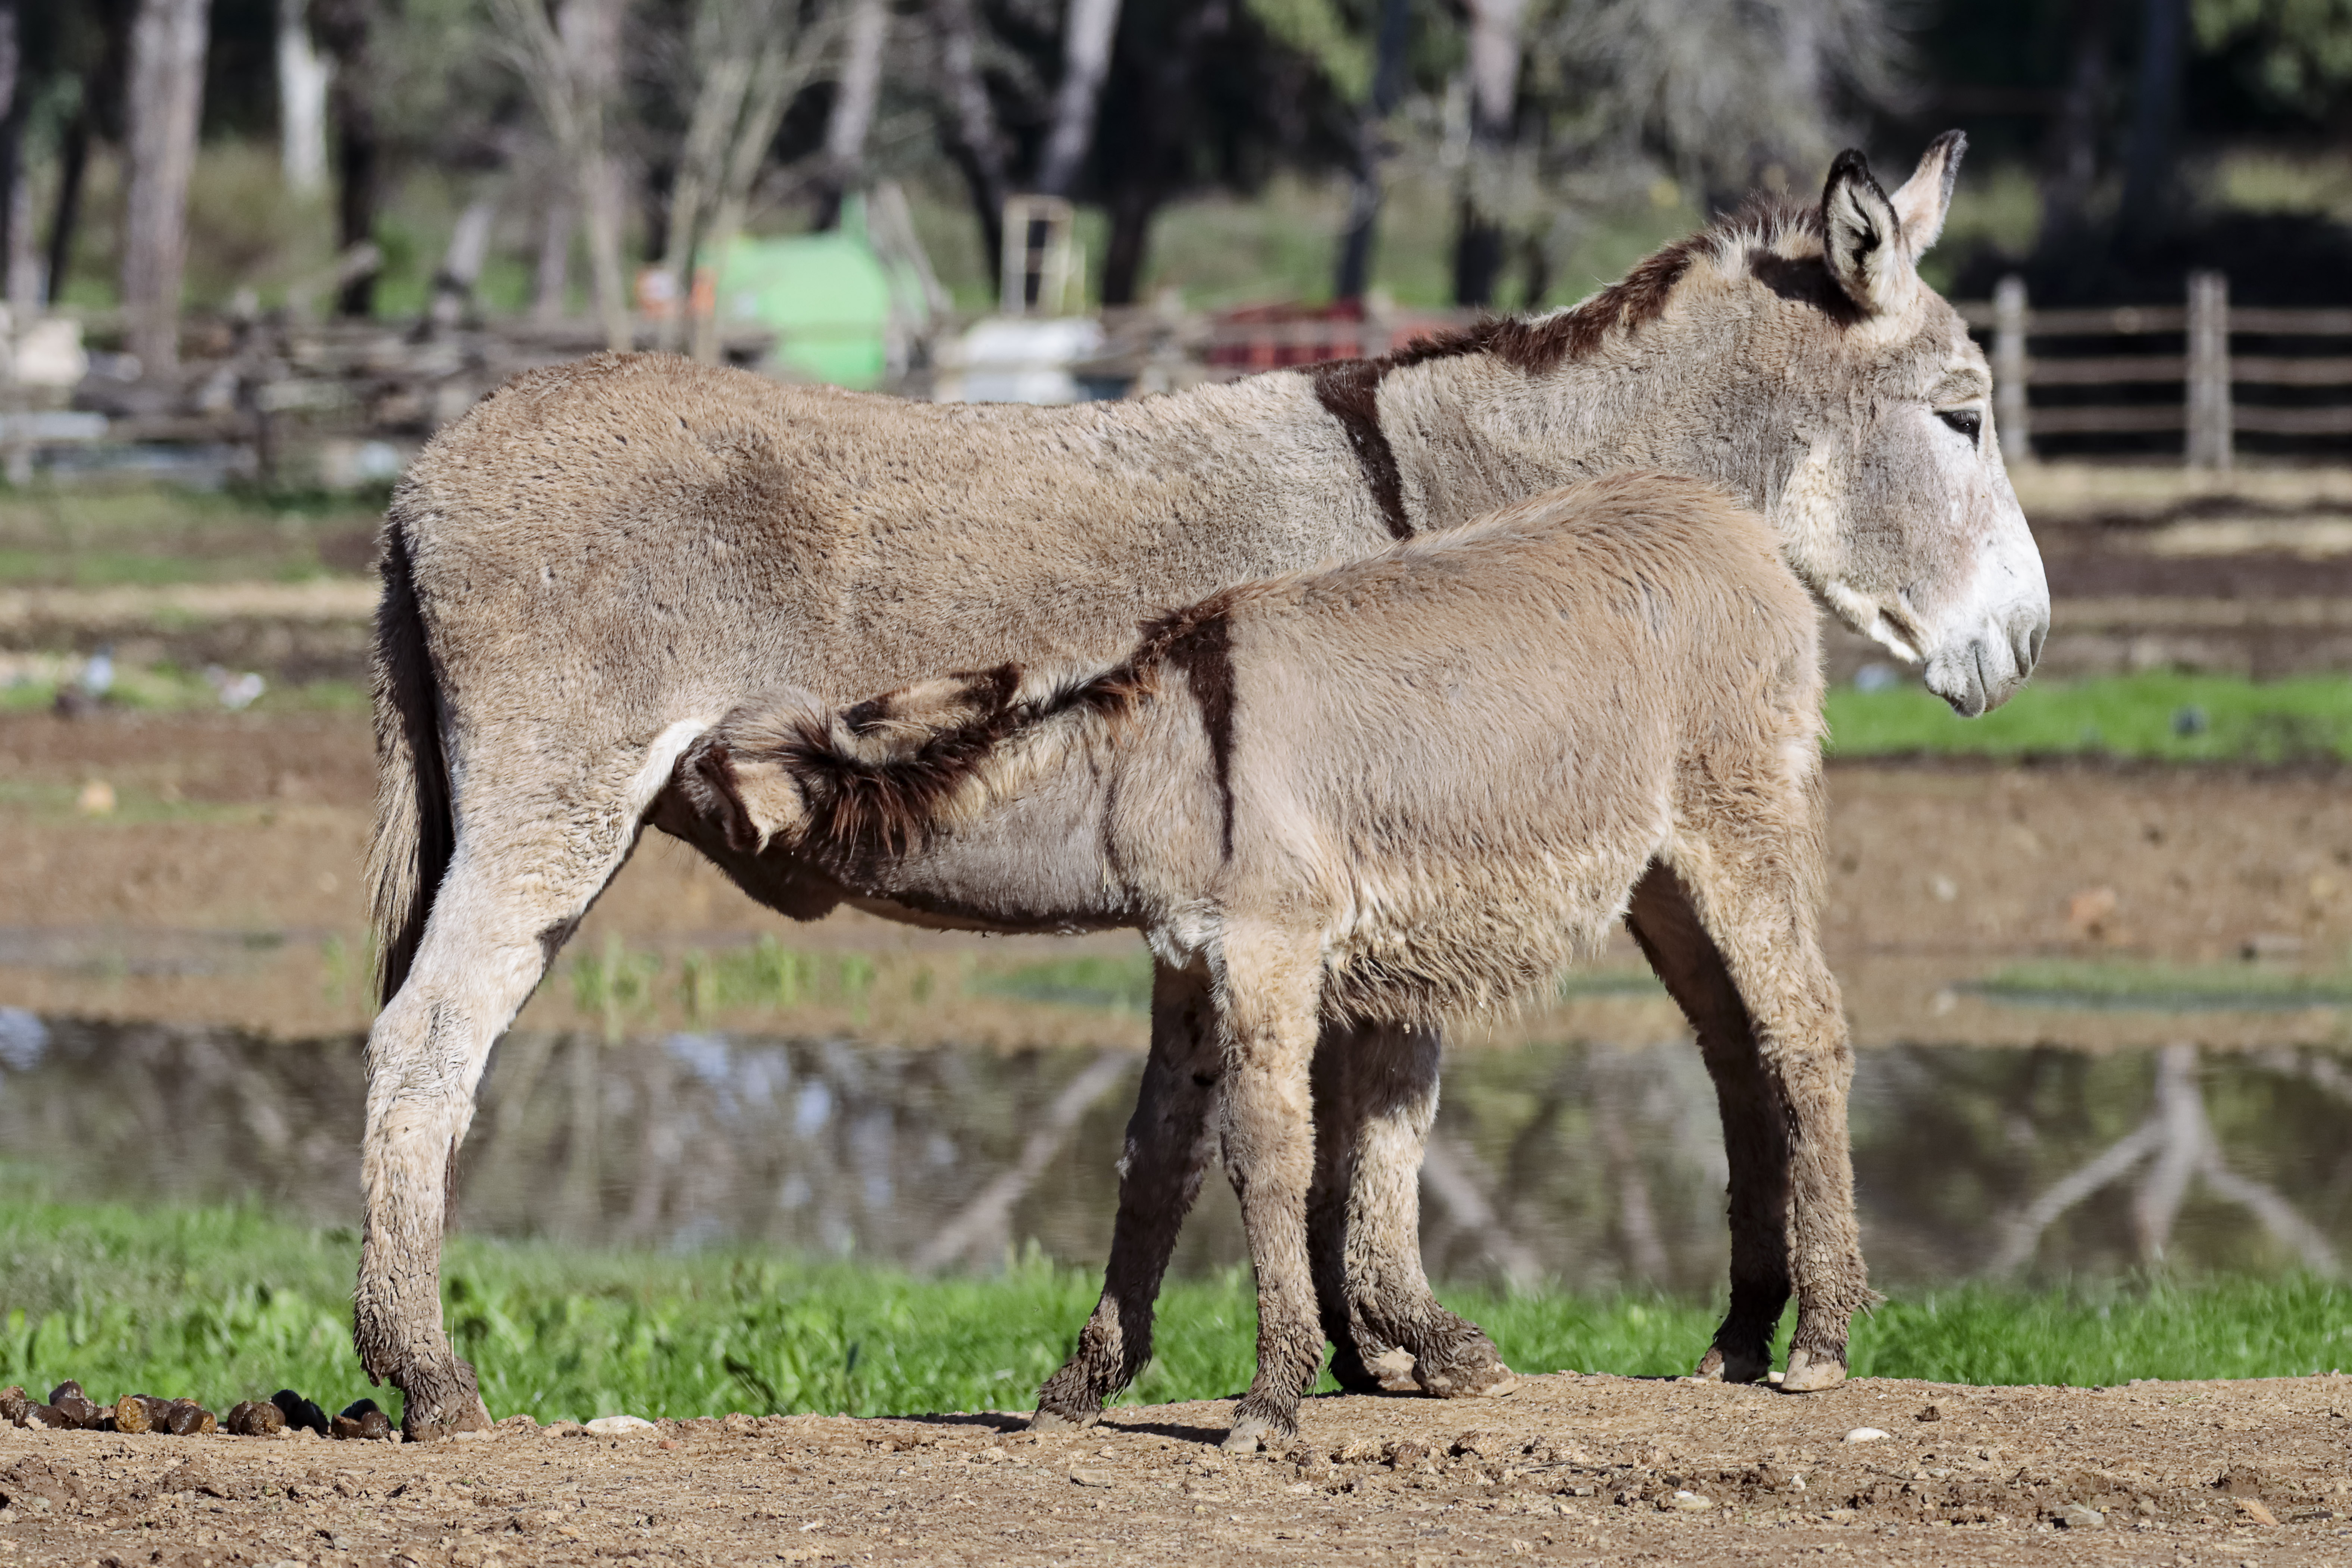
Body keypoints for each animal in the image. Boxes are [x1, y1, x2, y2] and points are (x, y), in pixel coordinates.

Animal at [682, 472, 1872, 1457]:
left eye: (704, 782)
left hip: (1738, 831)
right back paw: (1742, 1334)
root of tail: (1733, 521)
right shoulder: (1181, 961)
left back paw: (1819, 1343)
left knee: (1805, 1031)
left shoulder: (1267, 948)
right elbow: (1154, 1157)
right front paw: (1082, 1385)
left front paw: (1270, 1399)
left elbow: (1266, 1152)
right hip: (1661, 881)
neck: (1137, 770)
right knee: (1736, 1056)